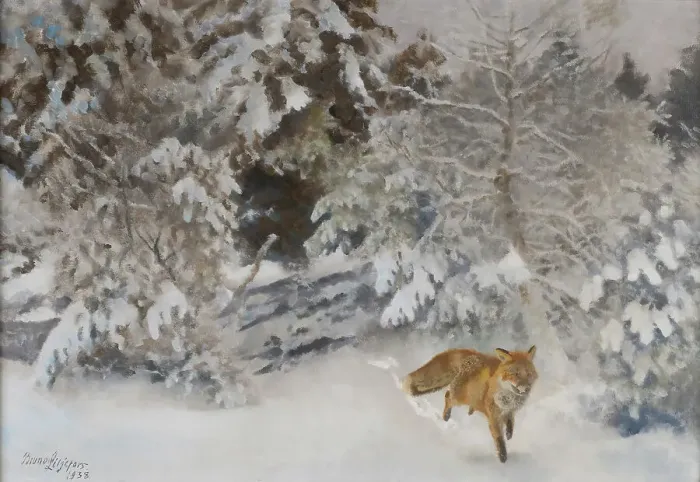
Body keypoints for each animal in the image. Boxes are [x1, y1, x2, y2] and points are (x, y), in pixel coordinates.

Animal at [401, 345, 538, 463]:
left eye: (529, 374)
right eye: (515, 374)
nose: (526, 389)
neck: (509, 398)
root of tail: (473, 354)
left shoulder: (510, 411)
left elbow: (510, 424)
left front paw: (509, 433)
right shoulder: (493, 416)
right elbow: (499, 439)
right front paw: (503, 458)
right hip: (460, 397)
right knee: (448, 396)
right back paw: (446, 416)